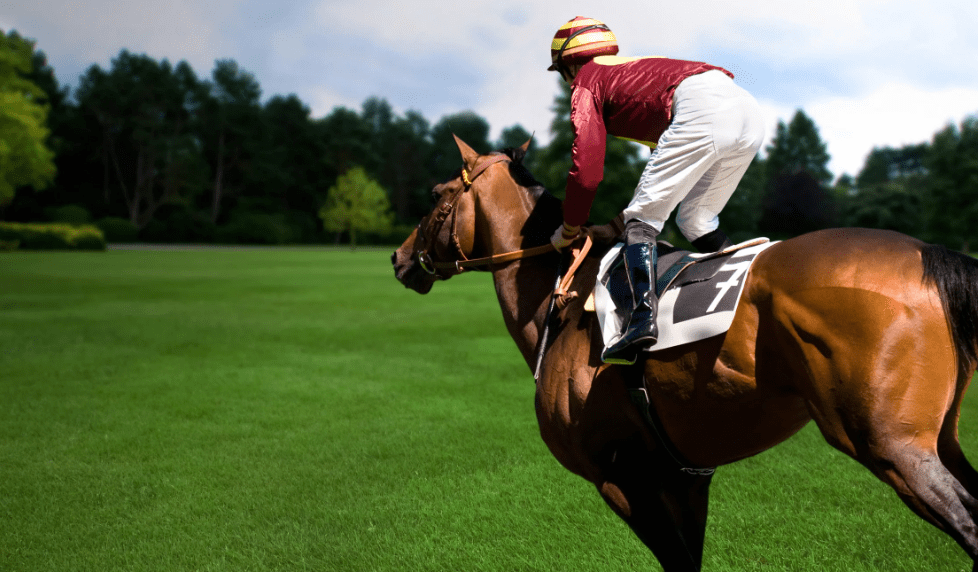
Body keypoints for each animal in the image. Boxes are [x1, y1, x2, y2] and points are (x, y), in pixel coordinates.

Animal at [391, 135, 978, 571]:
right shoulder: (686, 475)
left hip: (893, 446)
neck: (564, 297)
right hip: (938, 440)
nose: (399, 258)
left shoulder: (618, 473)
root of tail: (930, 253)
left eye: (438, 194)